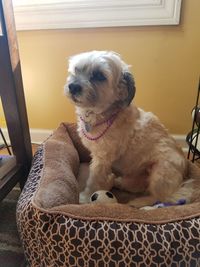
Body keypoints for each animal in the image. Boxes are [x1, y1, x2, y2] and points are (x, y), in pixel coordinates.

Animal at [65, 50, 200, 209]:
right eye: (76, 69)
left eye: (99, 75)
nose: (73, 86)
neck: (105, 114)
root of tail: (182, 179)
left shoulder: (101, 159)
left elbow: (94, 179)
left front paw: (86, 197)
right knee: (137, 186)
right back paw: (115, 182)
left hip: (161, 170)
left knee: (162, 197)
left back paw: (139, 202)